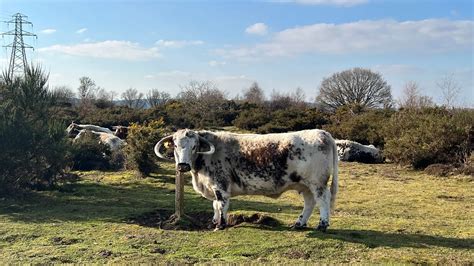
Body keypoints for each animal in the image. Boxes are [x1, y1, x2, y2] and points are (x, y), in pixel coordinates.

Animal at [155, 128, 336, 231]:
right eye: (175, 145)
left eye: (194, 147)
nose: (182, 166)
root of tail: (322, 132)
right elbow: (214, 205)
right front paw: (214, 221)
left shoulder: (220, 185)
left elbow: (221, 205)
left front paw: (221, 225)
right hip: (305, 185)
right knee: (309, 203)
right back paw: (299, 224)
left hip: (317, 183)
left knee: (323, 200)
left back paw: (322, 225)